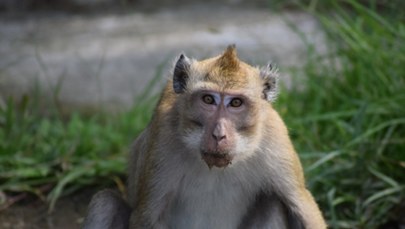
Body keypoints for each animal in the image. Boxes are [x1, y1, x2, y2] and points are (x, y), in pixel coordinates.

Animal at [81, 45, 326, 229]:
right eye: (208, 99)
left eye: (236, 103)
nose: (219, 134)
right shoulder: (162, 140)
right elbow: (146, 217)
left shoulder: (274, 139)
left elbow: (303, 207)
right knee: (105, 202)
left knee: (273, 202)